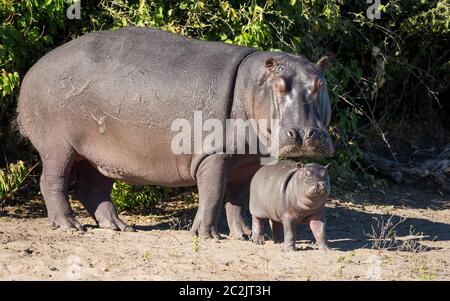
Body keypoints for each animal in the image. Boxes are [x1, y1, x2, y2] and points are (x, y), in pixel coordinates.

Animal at [17, 26, 334, 237]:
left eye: (320, 84)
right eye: (279, 86)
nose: (305, 135)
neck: (253, 85)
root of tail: (32, 70)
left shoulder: (247, 161)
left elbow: (236, 200)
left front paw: (244, 235)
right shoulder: (214, 155)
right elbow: (213, 195)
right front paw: (206, 235)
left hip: (98, 152)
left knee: (91, 187)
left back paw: (120, 227)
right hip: (58, 147)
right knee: (53, 181)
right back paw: (71, 226)